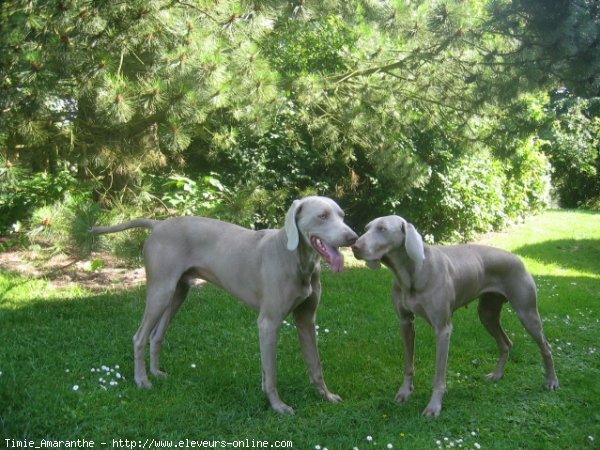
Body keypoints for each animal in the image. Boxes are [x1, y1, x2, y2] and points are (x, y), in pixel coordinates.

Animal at [89, 197, 356, 414]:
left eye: (342, 215)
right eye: (322, 216)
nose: (352, 237)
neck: (295, 257)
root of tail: (158, 225)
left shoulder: (307, 320)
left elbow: (315, 364)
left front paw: (326, 396)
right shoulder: (268, 323)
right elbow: (271, 373)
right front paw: (278, 406)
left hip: (178, 293)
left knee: (156, 336)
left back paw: (156, 373)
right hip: (160, 291)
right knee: (139, 337)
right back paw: (142, 380)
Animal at [352, 216, 556, 416]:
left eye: (382, 229)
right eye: (367, 228)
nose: (354, 246)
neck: (411, 274)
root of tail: (518, 258)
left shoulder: (443, 329)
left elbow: (439, 375)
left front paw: (434, 406)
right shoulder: (405, 322)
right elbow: (408, 364)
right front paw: (404, 392)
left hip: (526, 312)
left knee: (546, 346)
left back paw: (551, 381)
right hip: (487, 314)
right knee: (506, 343)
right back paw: (497, 375)